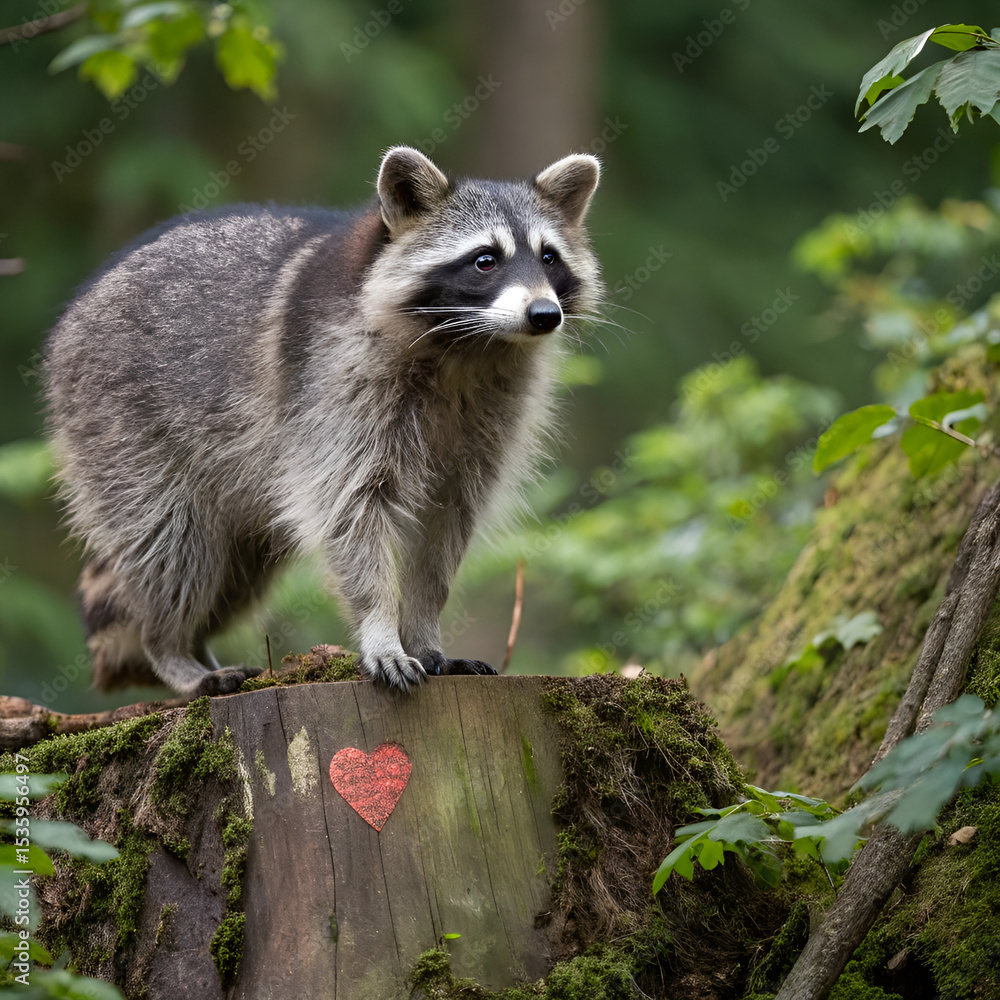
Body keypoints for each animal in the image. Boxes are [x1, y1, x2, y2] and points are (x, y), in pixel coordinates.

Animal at [44, 146, 602, 696]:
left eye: (548, 257)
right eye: (485, 260)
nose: (544, 314)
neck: (468, 346)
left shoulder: (489, 417)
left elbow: (445, 532)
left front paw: (424, 630)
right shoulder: (334, 388)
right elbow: (350, 509)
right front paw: (381, 630)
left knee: (234, 573)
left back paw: (196, 643)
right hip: (117, 422)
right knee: (173, 546)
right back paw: (170, 649)